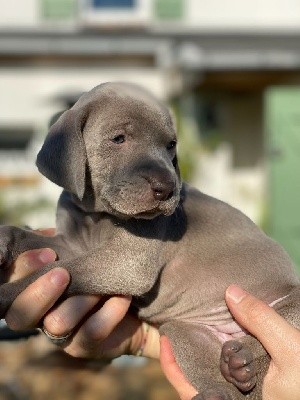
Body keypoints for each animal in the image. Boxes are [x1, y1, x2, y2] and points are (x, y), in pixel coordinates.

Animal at [0, 82, 300, 400]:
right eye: (118, 138)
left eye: (171, 145)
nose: (167, 188)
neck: (96, 215)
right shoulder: (71, 244)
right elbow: (31, 240)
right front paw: (4, 241)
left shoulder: (128, 262)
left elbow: (50, 271)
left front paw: (6, 294)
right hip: (185, 332)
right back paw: (228, 376)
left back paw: (242, 356)